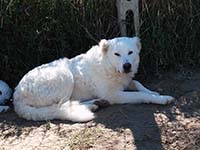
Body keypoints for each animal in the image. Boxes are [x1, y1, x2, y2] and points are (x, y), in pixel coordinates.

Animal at [13, 37, 174, 122]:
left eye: (130, 52)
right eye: (117, 54)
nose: (127, 66)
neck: (109, 66)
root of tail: (16, 96)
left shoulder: (125, 82)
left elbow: (137, 83)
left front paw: (153, 92)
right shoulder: (114, 95)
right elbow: (141, 95)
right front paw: (161, 98)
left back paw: (96, 103)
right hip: (64, 75)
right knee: (61, 106)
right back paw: (91, 105)